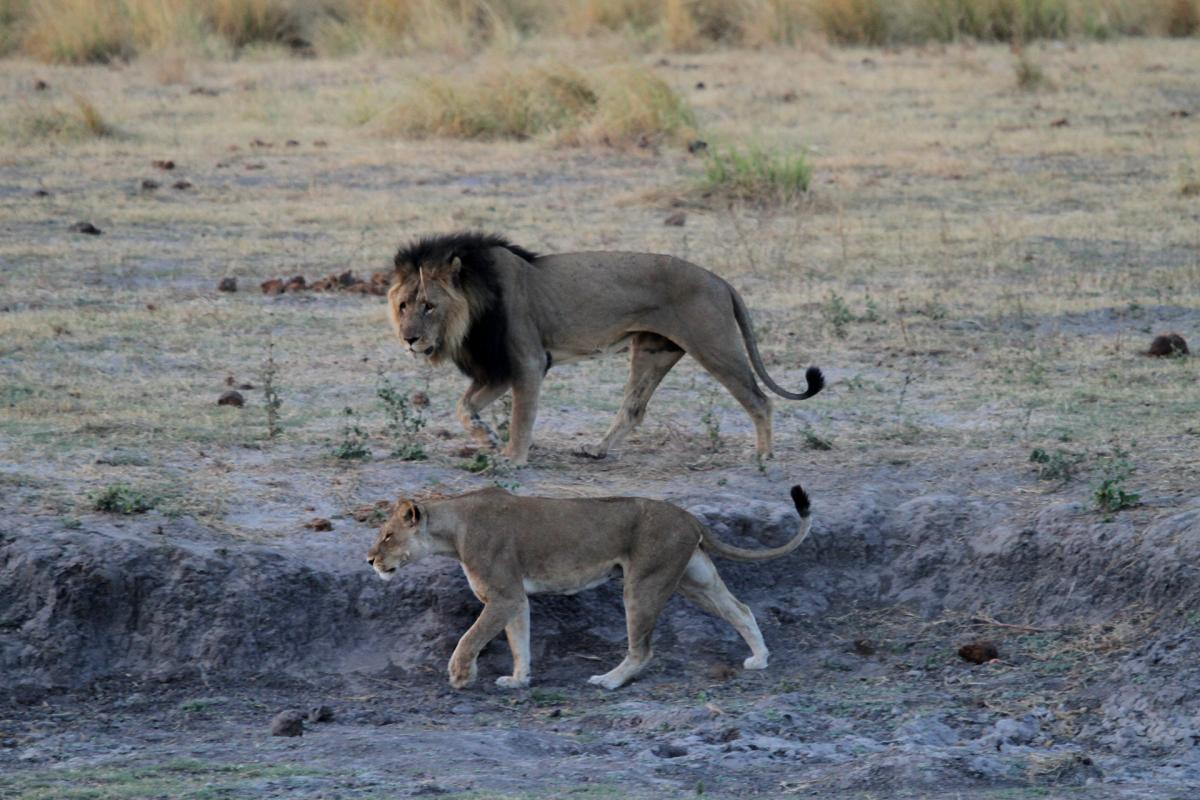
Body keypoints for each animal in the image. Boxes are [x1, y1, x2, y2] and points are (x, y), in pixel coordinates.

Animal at [364, 484, 816, 690]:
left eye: (387, 536)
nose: (369, 560)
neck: (453, 529)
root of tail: (688, 515)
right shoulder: (516, 598)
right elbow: (519, 641)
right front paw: (519, 680)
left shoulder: (503, 595)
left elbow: (471, 636)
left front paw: (460, 675)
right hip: (695, 579)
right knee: (740, 609)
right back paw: (760, 659)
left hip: (643, 583)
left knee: (643, 649)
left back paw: (609, 681)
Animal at [388, 231, 820, 465]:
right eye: (404, 305)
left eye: (430, 306)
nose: (409, 339)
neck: (473, 307)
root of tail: (720, 280)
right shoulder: (498, 369)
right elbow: (464, 407)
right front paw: (486, 438)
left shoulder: (527, 361)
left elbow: (521, 416)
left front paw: (513, 457)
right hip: (653, 351)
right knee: (633, 408)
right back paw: (597, 450)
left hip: (714, 346)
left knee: (760, 399)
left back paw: (763, 455)